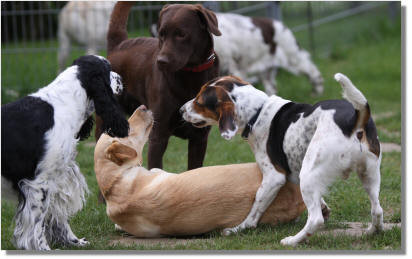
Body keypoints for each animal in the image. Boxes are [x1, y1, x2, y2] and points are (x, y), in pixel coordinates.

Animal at [1, 55, 129, 252]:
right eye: (108, 69)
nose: (122, 79)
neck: (64, 104)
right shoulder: (38, 183)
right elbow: (37, 223)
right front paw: (43, 249)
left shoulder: (57, 178)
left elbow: (58, 217)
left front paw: (74, 242)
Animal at [94, 2, 222, 173]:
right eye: (161, 34)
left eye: (181, 34)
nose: (161, 61)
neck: (190, 75)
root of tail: (119, 45)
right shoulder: (158, 136)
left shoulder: (199, 138)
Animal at [181, 74, 384, 247]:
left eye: (199, 101)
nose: (180, 109)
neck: (258, 113)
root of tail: (353, 121)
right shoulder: (294, 173)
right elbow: (321, 200)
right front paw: (325, 207)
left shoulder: (274, 177)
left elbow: (255, 209)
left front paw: (239, 229)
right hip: (369, 174)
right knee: (377, 209)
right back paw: (372, 231)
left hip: (308, 175)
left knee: (315, 219)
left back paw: (292, 241)